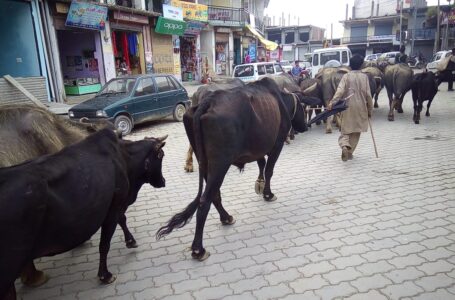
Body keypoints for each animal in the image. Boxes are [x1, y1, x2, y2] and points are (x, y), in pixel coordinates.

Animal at [0, 129, 167, 300]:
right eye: (161, 155)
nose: (163, 181)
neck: (124, 157)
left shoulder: (115, 204)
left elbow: (122, 219)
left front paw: (130, 241)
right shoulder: (114, 206)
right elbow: (105, 244)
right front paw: (105, 275)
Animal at [158, 77, 310, 260]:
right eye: (303, 107)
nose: (305, 126)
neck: (280, 100)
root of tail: (208, 101)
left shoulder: (257, 147)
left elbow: (261, 163)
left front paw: (259, 184)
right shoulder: (277, 143)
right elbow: (269, 170)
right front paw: (268, 193)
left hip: (205, 161)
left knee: (214, 195)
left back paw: (226, 217)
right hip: (220, 163)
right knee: (204, 201)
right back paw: (198, 249)